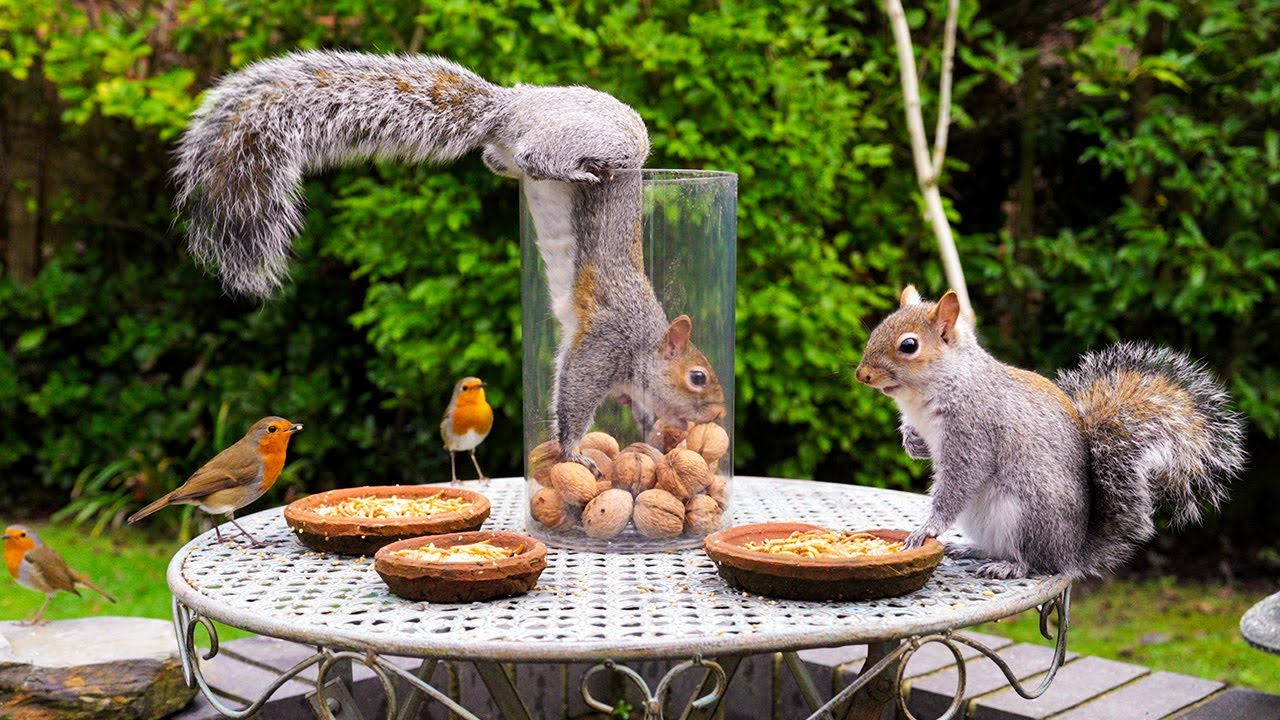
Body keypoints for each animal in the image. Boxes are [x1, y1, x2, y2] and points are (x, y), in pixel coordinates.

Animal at [171, 51, 726, 472]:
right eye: (697, 377)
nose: (718, 415)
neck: (645, 341)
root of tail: (514, 103)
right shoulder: (607, 341)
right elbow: (575, 393)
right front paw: (574, 454)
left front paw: (656, 435)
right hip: (603, 137)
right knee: (538, 156)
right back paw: (579, 170)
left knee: (497, 160)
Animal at [855, 285, 1245, 579]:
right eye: (877, 330)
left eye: (909, 345)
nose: (862, 375)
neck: (928, 393)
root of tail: (1071, 552)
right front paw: (911, 440)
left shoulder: (974, 429)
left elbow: (961, 480)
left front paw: (928, 528)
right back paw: (970, 548)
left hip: (1028, 512)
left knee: (1035, 561)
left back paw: (1011, 567)